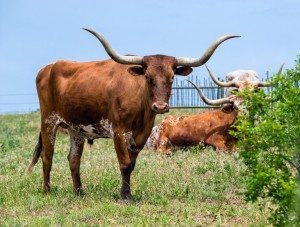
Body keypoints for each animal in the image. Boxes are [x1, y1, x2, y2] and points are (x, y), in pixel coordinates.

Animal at [25, 28, 238, 199]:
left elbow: (132, 165)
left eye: (171, 78)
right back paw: (47, 191)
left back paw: (79, 192)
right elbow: (125, 164)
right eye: (148, 77)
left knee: (73, 159)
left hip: (75, 129)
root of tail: (47, 68)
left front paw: (127, 193)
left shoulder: (142, 135)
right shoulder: (118, 131)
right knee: (47, 156)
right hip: (48, 121)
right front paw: (125, 196)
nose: (160, 106)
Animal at [147, 64, 282, 155]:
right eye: (235, 107)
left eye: (251, 105)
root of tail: (161, 123)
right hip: (162, 142)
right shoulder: (215, 141)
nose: (243, 118)